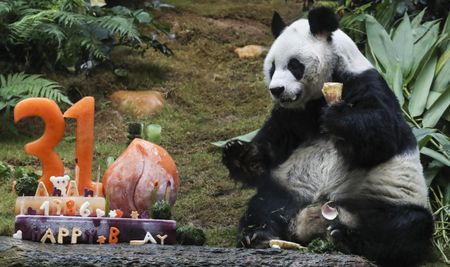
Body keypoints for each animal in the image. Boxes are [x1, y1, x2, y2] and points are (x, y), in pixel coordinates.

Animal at [223, 6, 434, 267]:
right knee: (264, 207)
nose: (277, 90)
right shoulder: (290, 114)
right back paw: (258, 237)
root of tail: (317, 217)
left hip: (385, 198)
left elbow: (384, 136)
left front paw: (337, 116)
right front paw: (238, 153)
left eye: (294, 65)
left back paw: (346, 238)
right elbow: (271, 148)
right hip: (291, 190)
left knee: (406, 228)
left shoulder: (368, 84)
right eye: (272, 67)